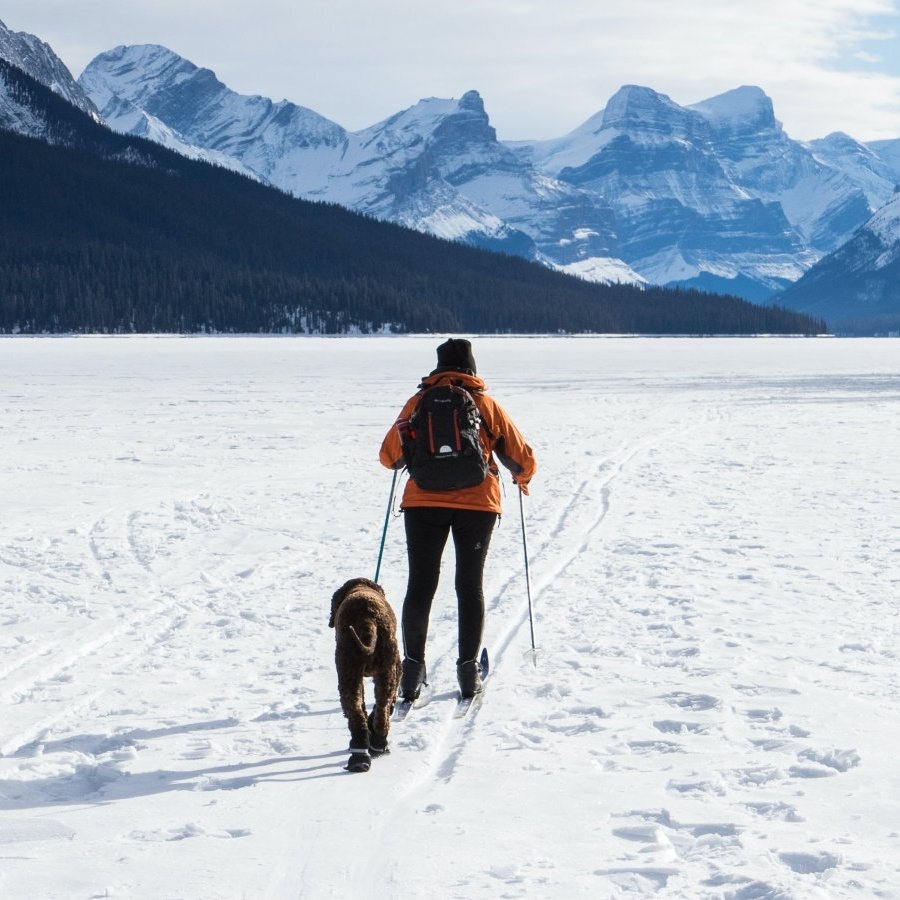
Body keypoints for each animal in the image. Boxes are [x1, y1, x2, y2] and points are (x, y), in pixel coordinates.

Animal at [330, 576, 400, 772]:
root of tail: (368, 621)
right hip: (385, 671)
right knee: (381, 711)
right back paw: (376, 745)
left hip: (349, 672)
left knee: (359, 712)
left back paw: (360, 757)